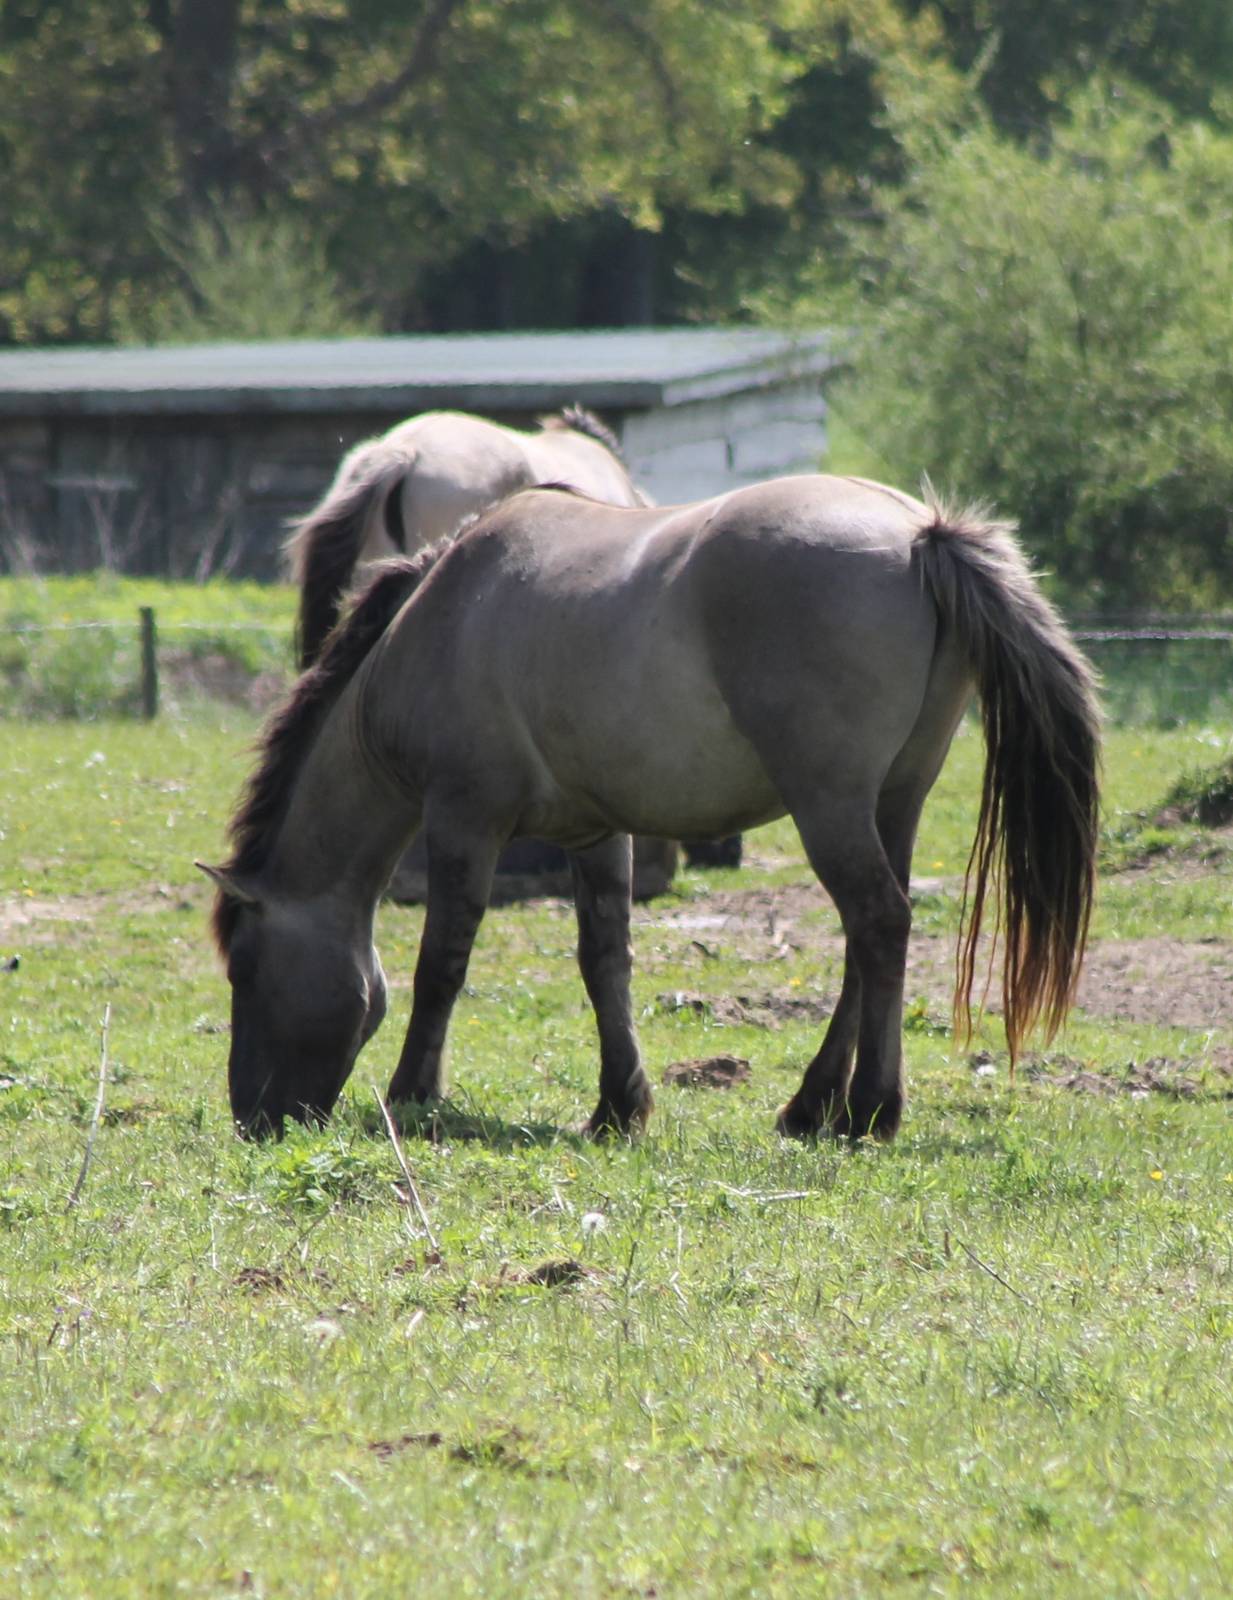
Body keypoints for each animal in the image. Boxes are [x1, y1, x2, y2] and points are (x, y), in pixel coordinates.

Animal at [201, 473, 1100, 1144]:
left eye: (243, 964)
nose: (253, 1115)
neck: (440, 623)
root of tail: (919, 533)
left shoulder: (464, 819)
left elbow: (440, 966)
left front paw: (410, 1095)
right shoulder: (596, 831)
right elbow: (606, 963)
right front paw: (617, 1106)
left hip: (828, 806)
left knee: (877, 922)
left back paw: (869, 1111)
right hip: (894, 800)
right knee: (869, 939)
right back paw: (811, 1105)